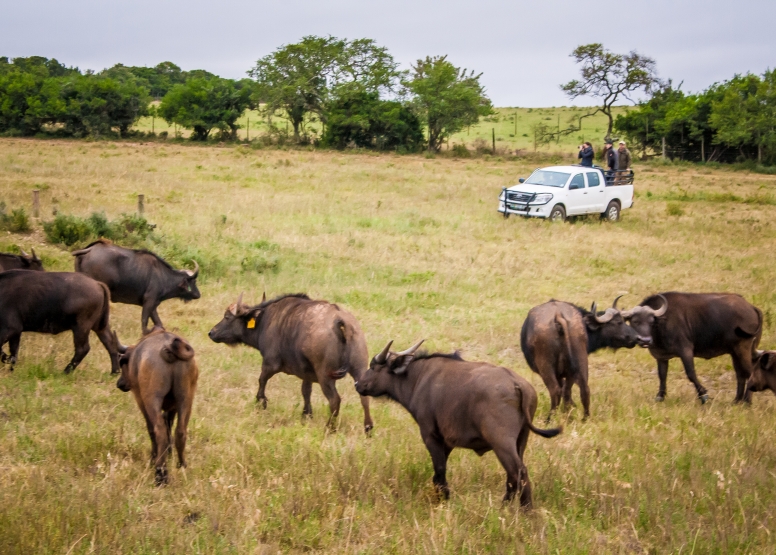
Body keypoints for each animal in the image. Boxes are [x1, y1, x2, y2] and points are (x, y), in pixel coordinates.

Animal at [117, 330, 199, 486]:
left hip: (151, 400)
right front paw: (169, 453)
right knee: (180, 431)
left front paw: (154, 458)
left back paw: (160, 473)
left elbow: (152, 429)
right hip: (186, 399)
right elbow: (169, 426)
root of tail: (169, 348)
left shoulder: (141, 400)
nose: (120, 383)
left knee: (159, 431)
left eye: (123, 362)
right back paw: (182, 465)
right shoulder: (172, 407)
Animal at [209, 294, 372, 432]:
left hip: (325, 376)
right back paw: (368, 428)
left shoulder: (270, 364)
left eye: (227, 317)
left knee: (334, 400)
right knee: (364, 398)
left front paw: (261, 403)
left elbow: (261, 380)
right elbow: (306, 391)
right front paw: (306, 414)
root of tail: (340, 321)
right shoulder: (307, 373)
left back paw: (329, 428)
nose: (211, 333)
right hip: (359, 369)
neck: (265, 321)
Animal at [354, 338, 560, 508]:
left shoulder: (430, 435)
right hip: (521, 440)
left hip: (502, 442)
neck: (417, 378)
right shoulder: (447, 442)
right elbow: (437, 474)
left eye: (373, 366)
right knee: (514, 475)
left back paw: (523, 510)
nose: (357, 385)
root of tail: (517, 384)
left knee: (518, 471)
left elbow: (439, 469)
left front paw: (443, 499)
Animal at [624, 294, 764, 406]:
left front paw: (703, 396)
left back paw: (747, 402)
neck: (662, 326)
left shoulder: (685, 350)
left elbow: (691, 374)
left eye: (651, 322)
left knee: (749, 372)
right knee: (740, 374)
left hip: (743, 349)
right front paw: (660, 397)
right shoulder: (661, 356)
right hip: (735, 352)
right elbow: (662, 376)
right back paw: (736, 400)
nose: (645, 340)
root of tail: (752, 307)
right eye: (635, 321)